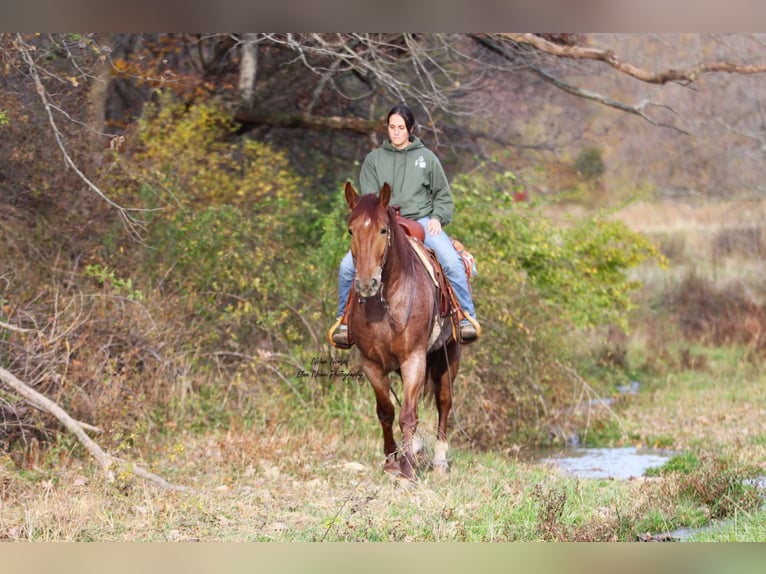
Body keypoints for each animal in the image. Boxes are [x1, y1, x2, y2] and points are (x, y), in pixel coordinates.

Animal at [344, 181, 462, 482]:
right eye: (351, 230)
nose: (366, 284)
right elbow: (386, 411)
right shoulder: (372, 363)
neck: (385, 303)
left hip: (449, 356)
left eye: (383, 230)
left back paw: (439, 461)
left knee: (444, 403)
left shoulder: (414, 358)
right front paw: (391, 461)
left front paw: (407, 469)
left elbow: (408, 414)